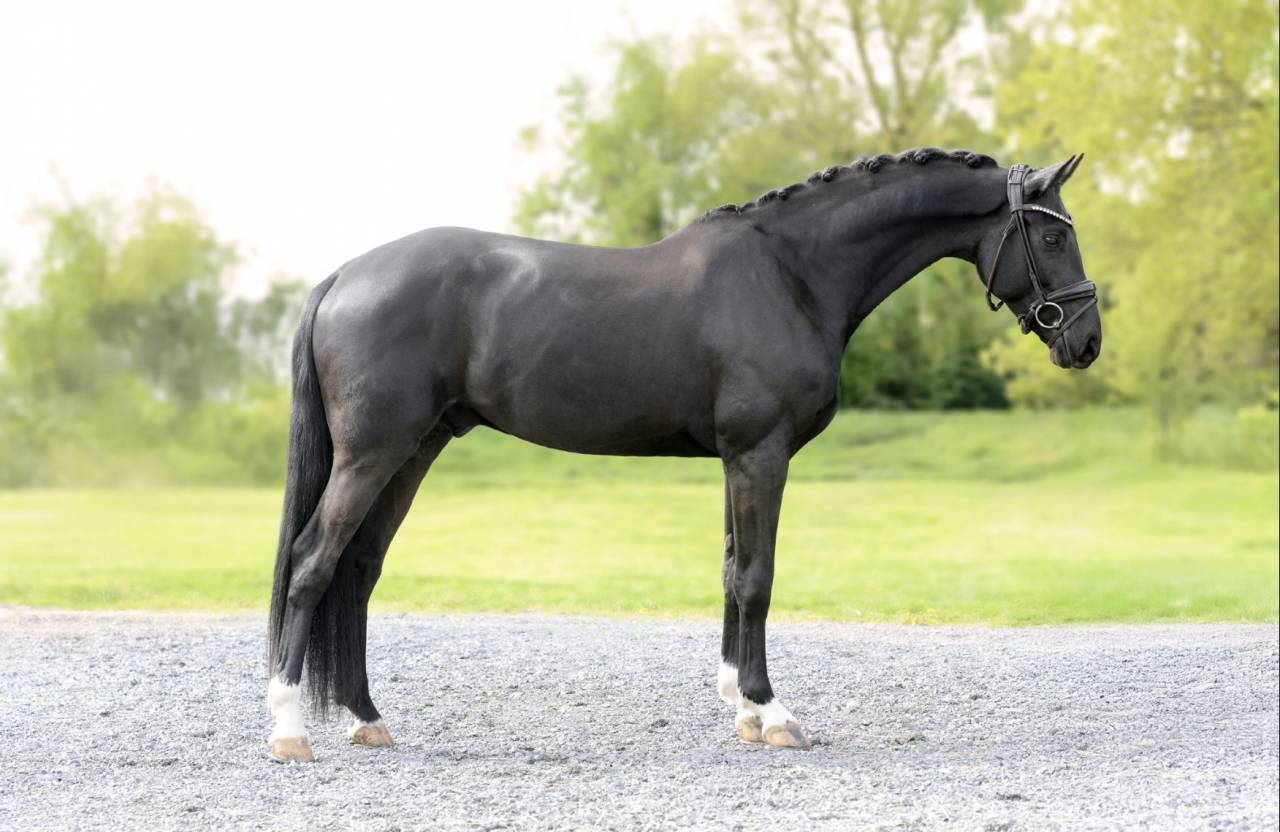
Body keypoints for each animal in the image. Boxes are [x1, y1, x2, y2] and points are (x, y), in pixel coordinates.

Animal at [265, 148, 1101, 762]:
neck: (792, 275)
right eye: (1053, 235)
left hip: (414, 450)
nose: (1085, 341)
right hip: (373, 454)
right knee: (311, 564)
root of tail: (343, 276)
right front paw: (773, 713)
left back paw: (367, 718)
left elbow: (732, 572)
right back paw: (289, 729)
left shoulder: (738, 459)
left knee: (358, 569)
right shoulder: (761, 454)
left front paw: (741, 707)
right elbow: (758, 578)